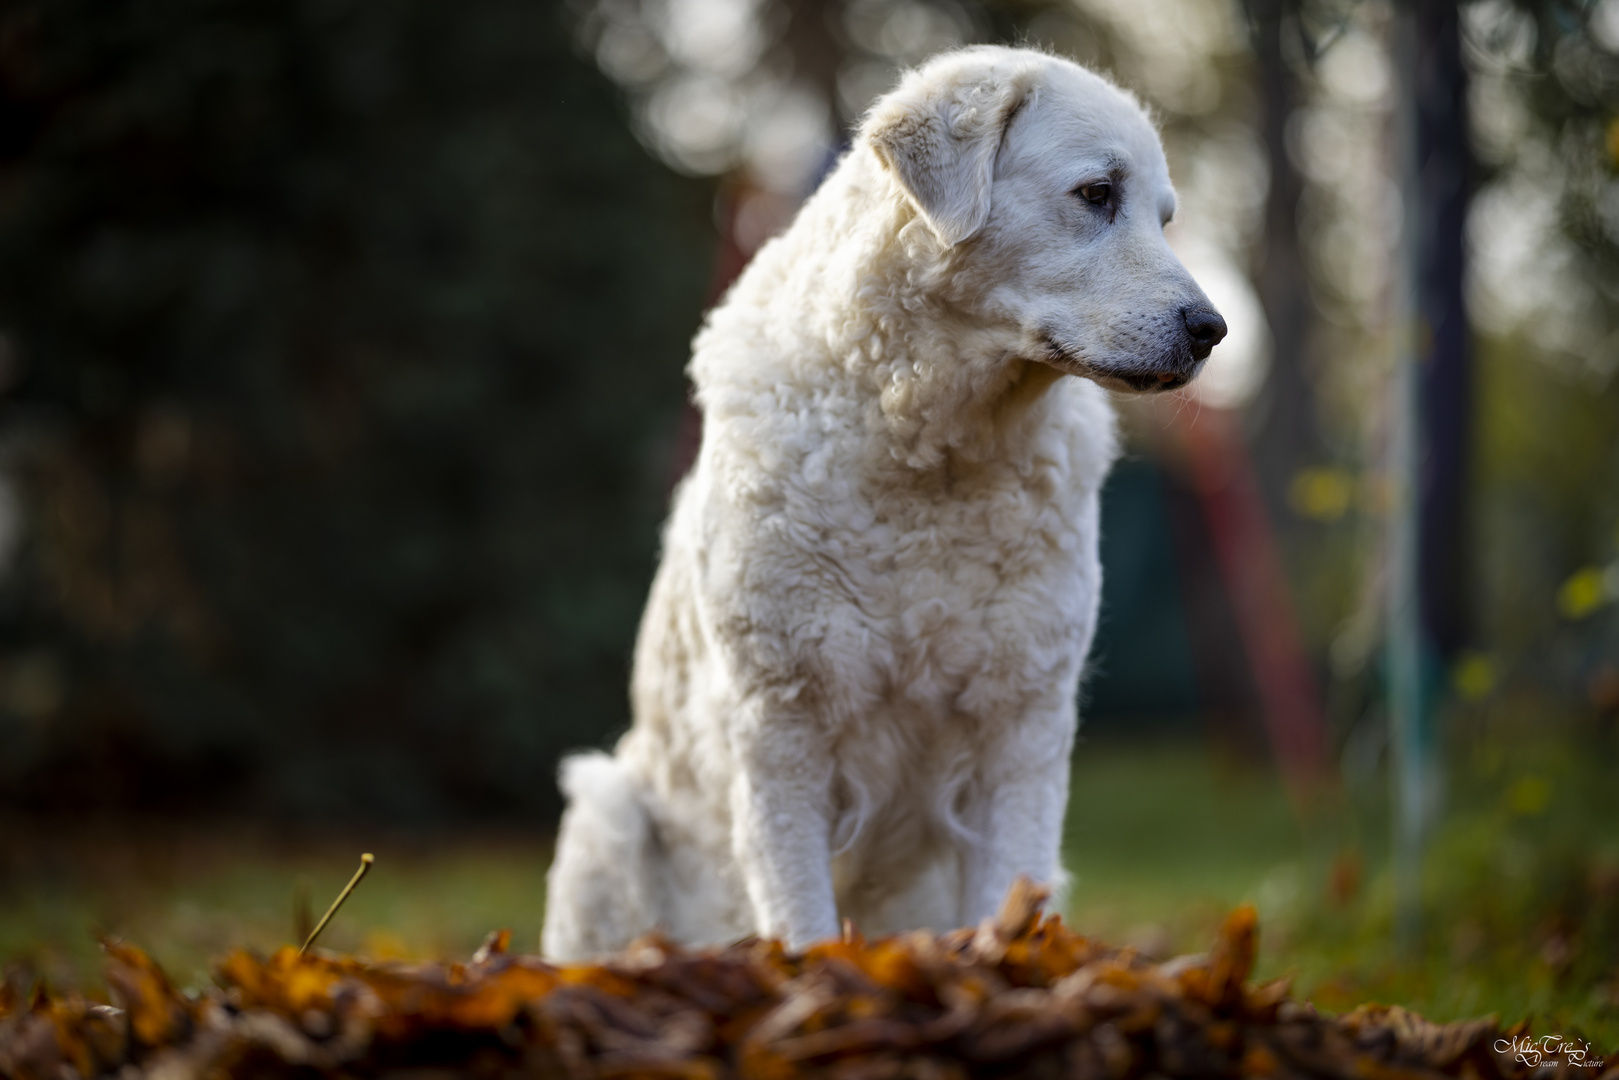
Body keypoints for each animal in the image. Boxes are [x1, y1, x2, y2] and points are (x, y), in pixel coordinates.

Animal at [537, 42, 1217, 958]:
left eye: (1162, 218)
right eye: (1096, 194)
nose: (1212, 329)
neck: (932, 457)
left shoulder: (1023, 727)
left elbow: (1008, 900)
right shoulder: (779, 728)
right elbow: (801, 923)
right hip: (605, 814)